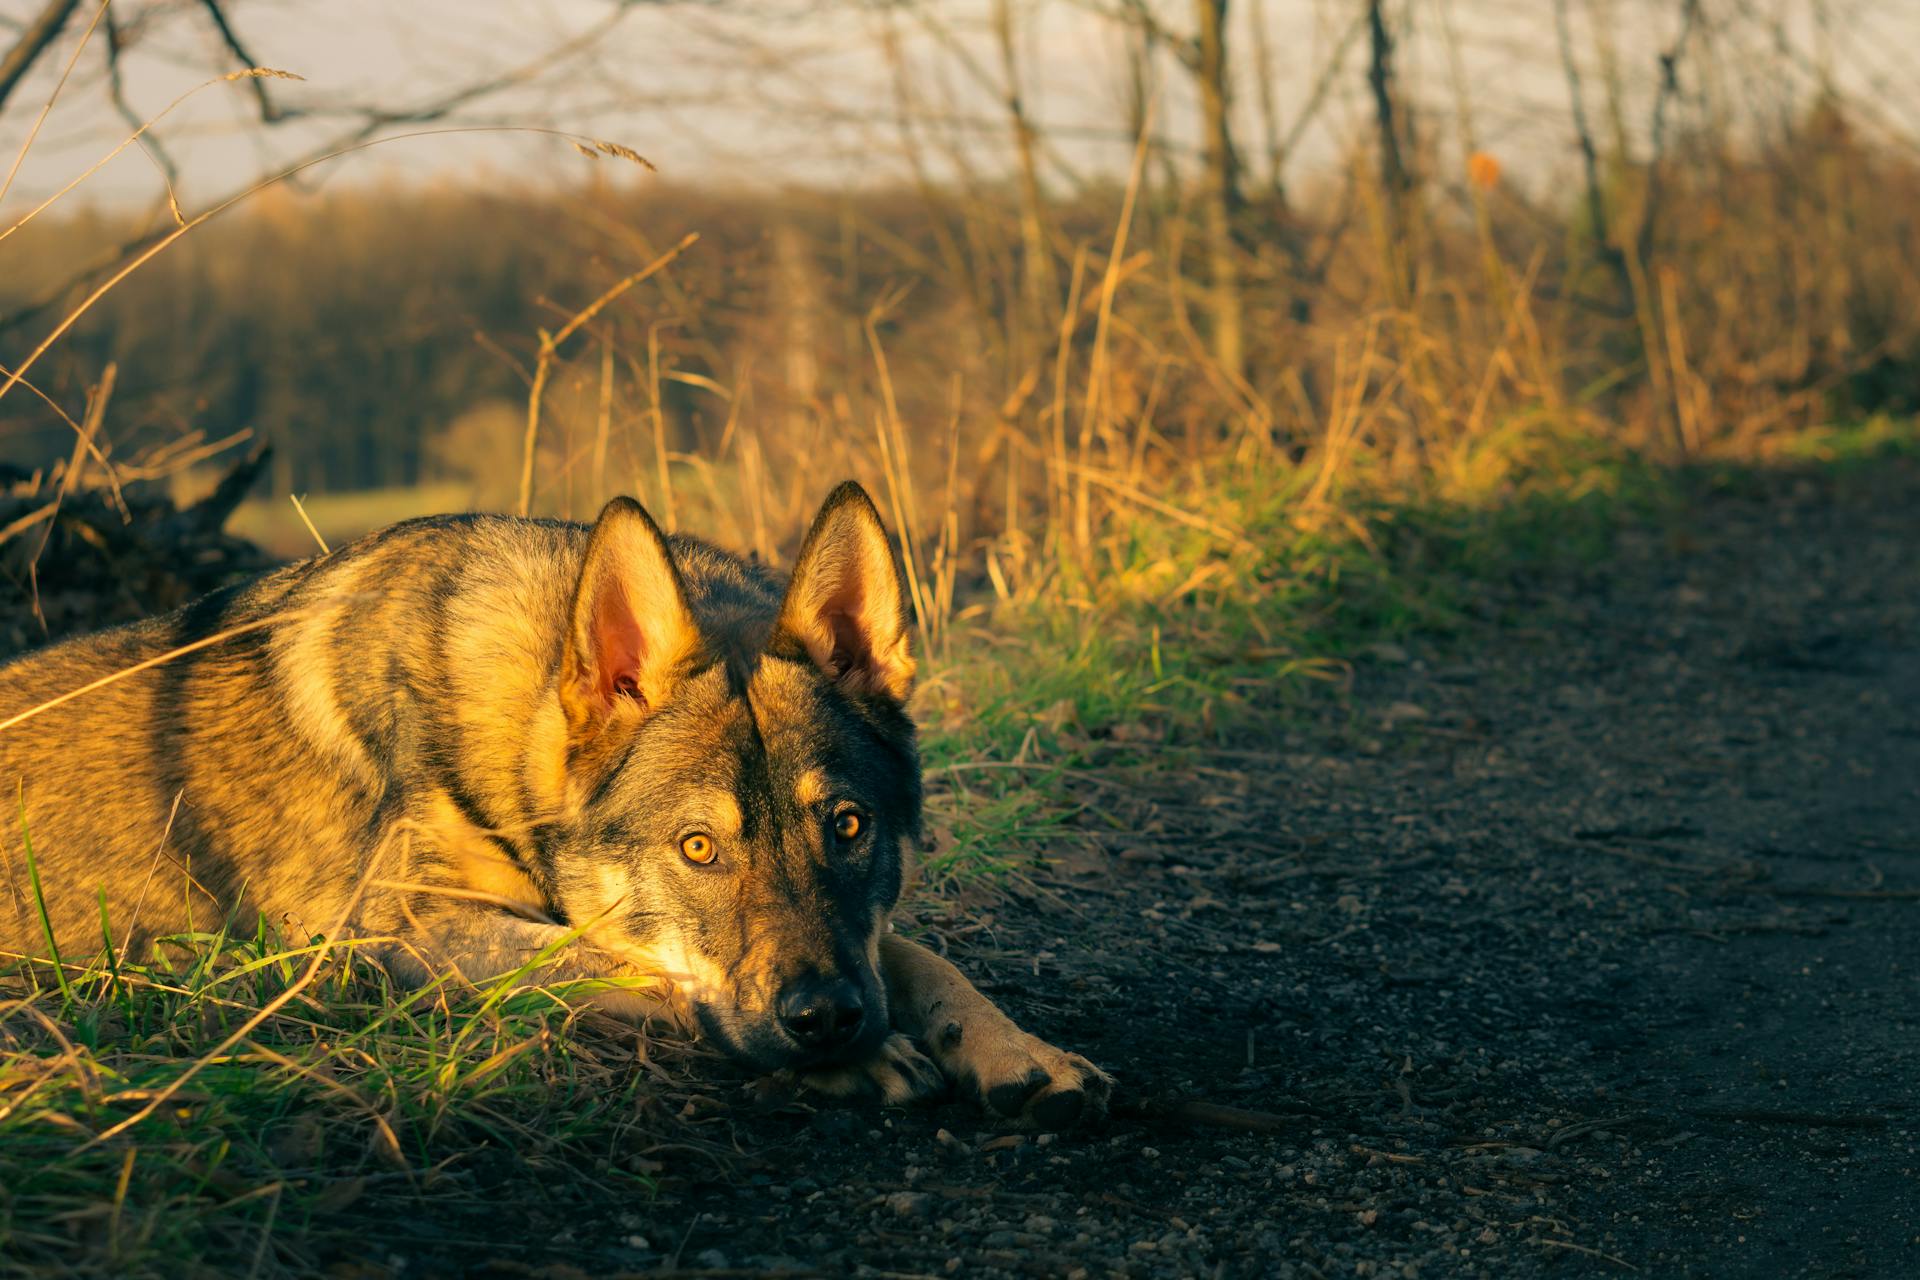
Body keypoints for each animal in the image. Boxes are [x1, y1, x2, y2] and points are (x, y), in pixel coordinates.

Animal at [0, 485, 1113, 1128]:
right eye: (697, 847)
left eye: (849, 827)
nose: (827, 1020)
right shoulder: (396, 934)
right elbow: (637, 968)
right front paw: (868, 1057)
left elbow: (921, 956)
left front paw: (1016, 1048)